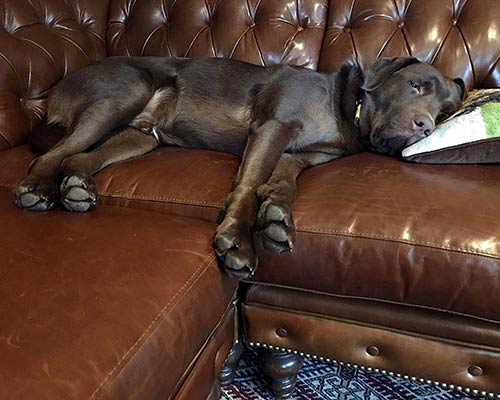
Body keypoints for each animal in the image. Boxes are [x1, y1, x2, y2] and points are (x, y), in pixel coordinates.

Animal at [13, 56, 464, 278]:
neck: (345, 108)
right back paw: (37, 191)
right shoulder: (274, 127)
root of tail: (53, 92)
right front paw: (238, 241)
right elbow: (248, 185)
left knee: (76, 157)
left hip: (142, 134)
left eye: (445, 113)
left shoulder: (300, 156)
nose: (426, 127)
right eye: (417, 86)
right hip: (125, 91)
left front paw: (277, 217)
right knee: (49, 155)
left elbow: (282, 184)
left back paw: (76, 187)